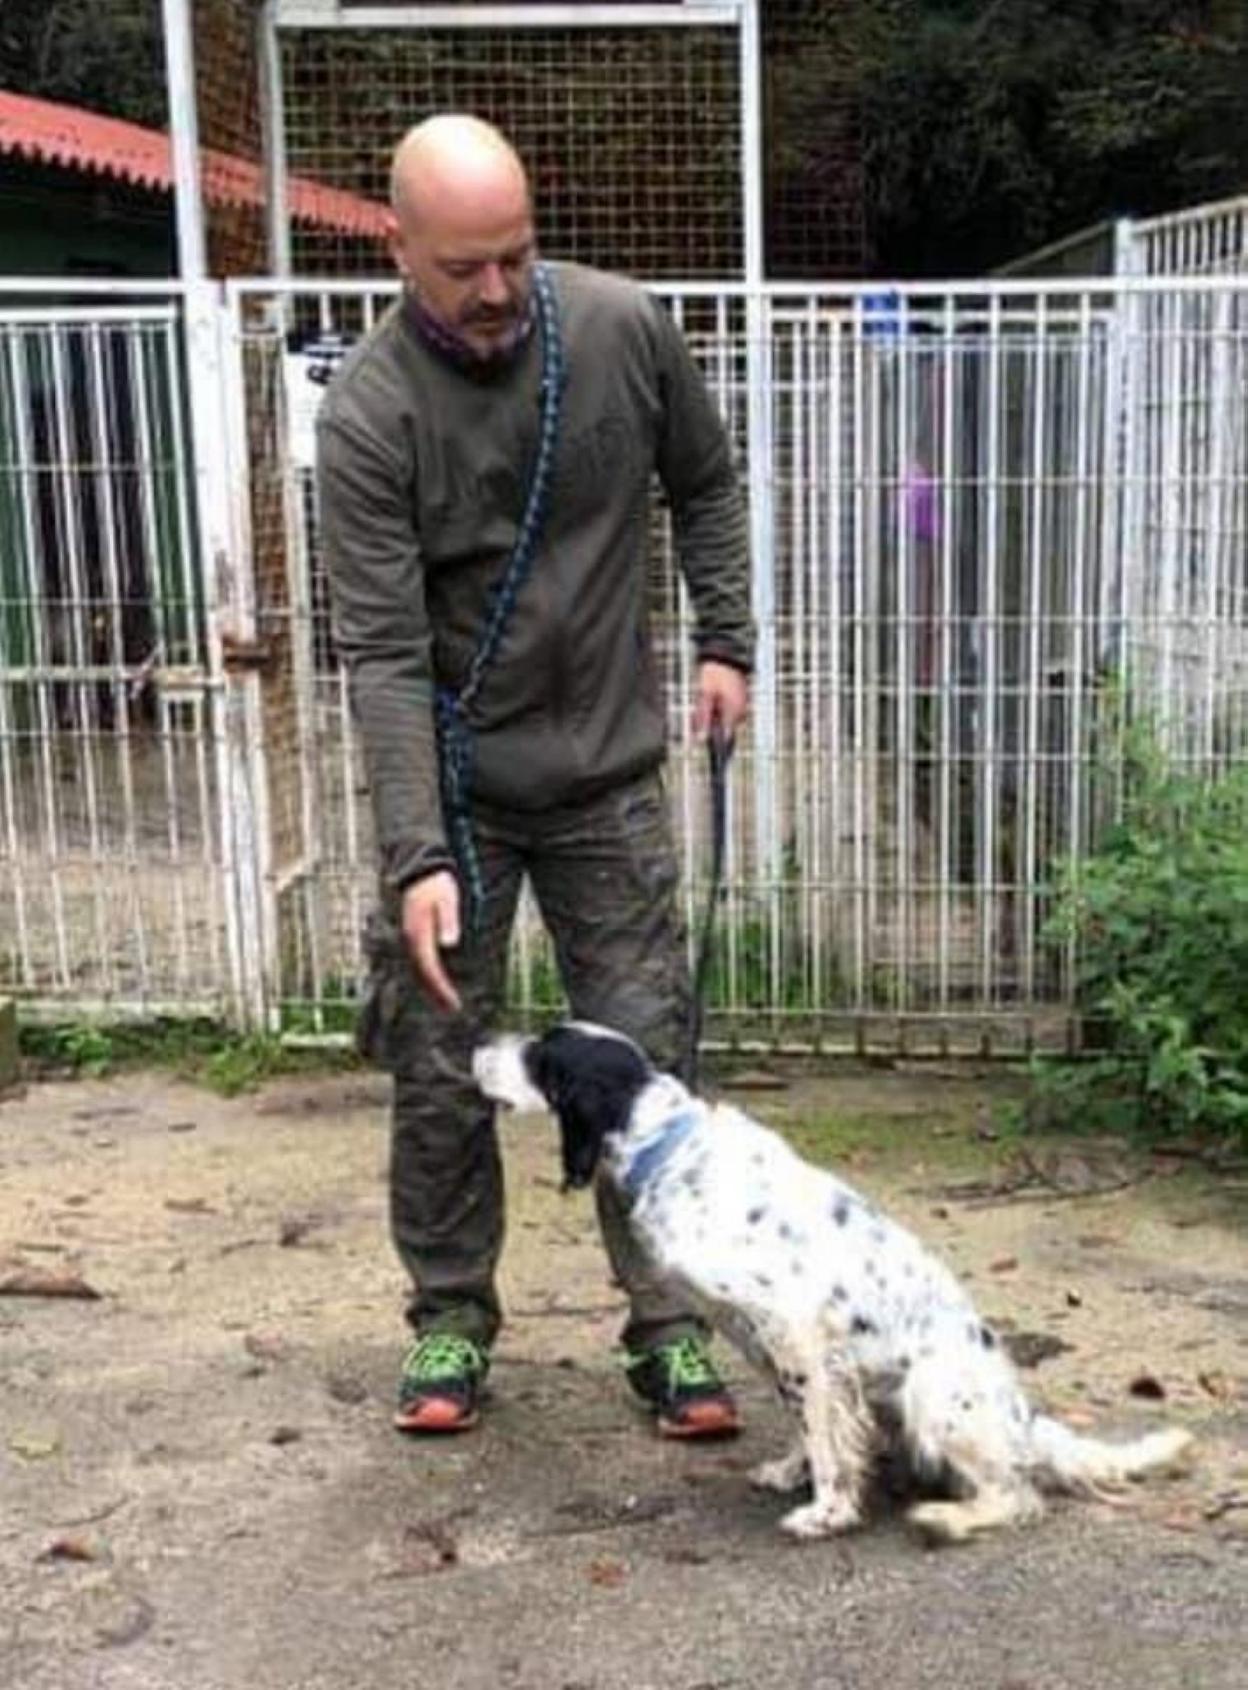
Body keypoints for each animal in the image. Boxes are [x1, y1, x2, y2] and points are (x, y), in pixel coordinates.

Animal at [470, 1014, 1190, 1548]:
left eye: (539, 1053)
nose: (476, 1044)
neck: (670, 1148)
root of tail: (1023, 1417)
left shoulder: (797, 1332)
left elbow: (819, 1428)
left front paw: (827, 1512)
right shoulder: (777, 1345)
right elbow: (811, 1424)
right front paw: (796, 1474)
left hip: (932, 1394)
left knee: (1018, 1492)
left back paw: (947, 1519)